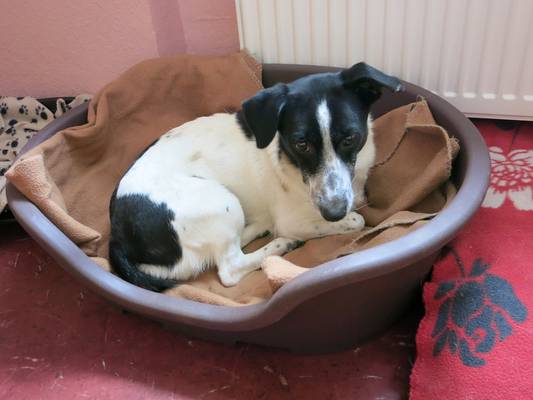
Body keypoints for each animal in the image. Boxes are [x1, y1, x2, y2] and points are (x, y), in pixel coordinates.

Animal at [108, 62, 403, 292]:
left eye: (350, 137)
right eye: (301, 144)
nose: (333, 212)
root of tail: (118, 233)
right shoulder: (295, 220)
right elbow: (357, 219)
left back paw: (258, 228)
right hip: (220, 202)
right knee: (229, 269)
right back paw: (279, 246)